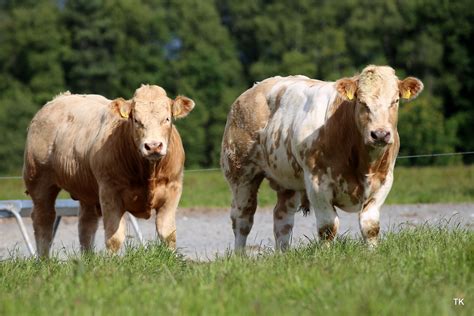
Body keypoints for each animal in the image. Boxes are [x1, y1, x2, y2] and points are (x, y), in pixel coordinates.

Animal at [23, 84, 194, 256]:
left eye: (167, 119)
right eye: (136, 120)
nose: (153, 146)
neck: (148, 171)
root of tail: (58, 99)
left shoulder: (173, 189)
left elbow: (168, 234)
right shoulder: (109, 191)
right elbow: (114, 238)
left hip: (86, 190)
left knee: (86, 224)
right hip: (38, 181)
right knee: (44, 219)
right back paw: (44, 258)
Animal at [220, 65, 424, 251]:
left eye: (395, 101)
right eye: (361, 102)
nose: (380, 134)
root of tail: (251, 91)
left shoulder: (384, 181)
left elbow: (370, 226)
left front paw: (372, 255)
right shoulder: (317, 184)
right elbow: (328, 228)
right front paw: (327, 257)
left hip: (288, 180)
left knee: (282, 220)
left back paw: (282, 255)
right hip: (241, 174)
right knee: (242, 219)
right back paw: (240, 257)